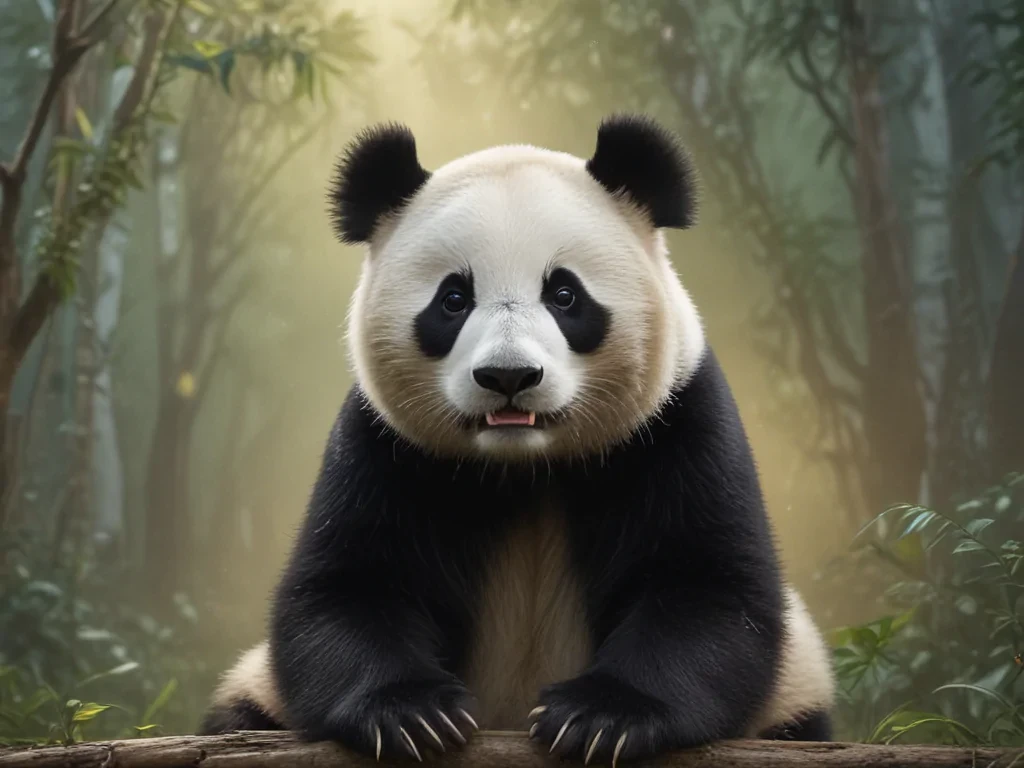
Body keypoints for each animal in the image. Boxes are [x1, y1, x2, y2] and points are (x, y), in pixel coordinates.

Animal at [199, 114, 836, 765]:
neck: (527, 468)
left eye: (565, 294)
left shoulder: (677, 422)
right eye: (453, 299)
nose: (509, 376)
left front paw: (600, 717)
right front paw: (414, 714)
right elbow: (346, 587)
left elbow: (707, 587)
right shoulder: (384, 447)